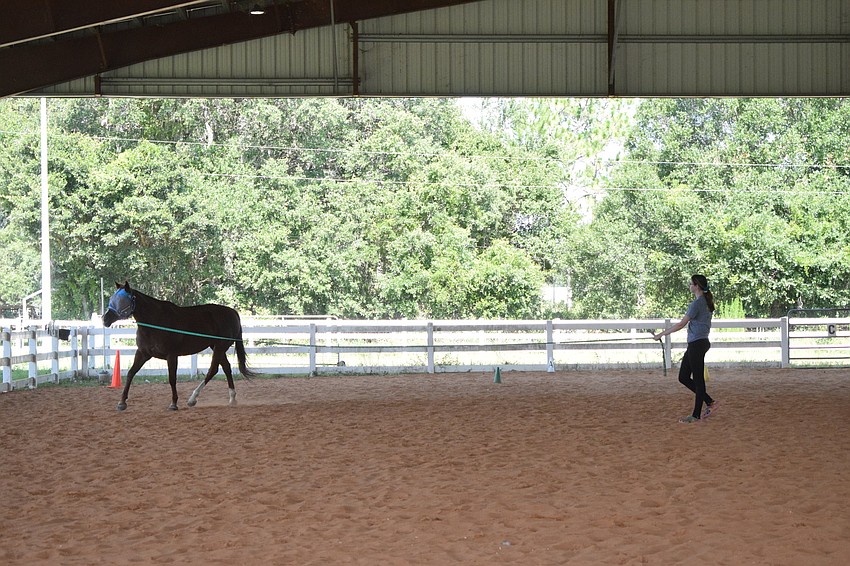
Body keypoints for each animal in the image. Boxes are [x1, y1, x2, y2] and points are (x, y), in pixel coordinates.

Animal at [102, 281, 257, 411]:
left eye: (122, 300)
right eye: (112, 299)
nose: (105, 319)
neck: (156, 321)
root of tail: (233, 312)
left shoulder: (171, 355)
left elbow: (172, 378)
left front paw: (173, 404)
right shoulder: (142, 353)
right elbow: (130, 373)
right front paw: (122, 403)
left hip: (220, 347)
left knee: (213, 370)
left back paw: (192, 399)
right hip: (216, 347)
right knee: (226, 368)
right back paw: (232, 398)